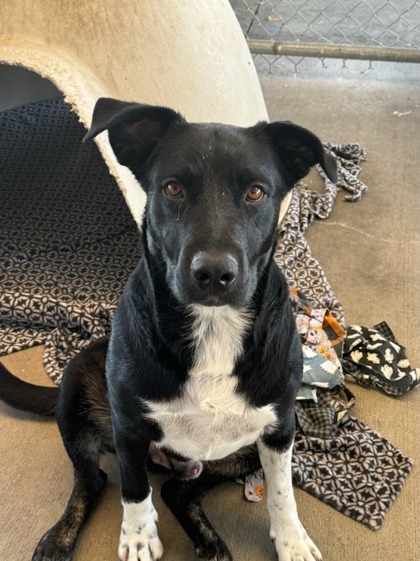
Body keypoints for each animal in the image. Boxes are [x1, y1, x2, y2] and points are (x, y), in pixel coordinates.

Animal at [0, 100, 334, 560]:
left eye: (256, 192)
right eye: (173, 188)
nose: (214, 274)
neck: (212, 327)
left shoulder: (279, 427)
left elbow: (283, 492)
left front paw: (293, 542)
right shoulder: (129, 426)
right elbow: (134, 488)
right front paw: (138, 535)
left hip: (242, 450)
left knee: (177, 490)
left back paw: (210, 542)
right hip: (76, 381)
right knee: (96, 480)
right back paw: (59, 540)